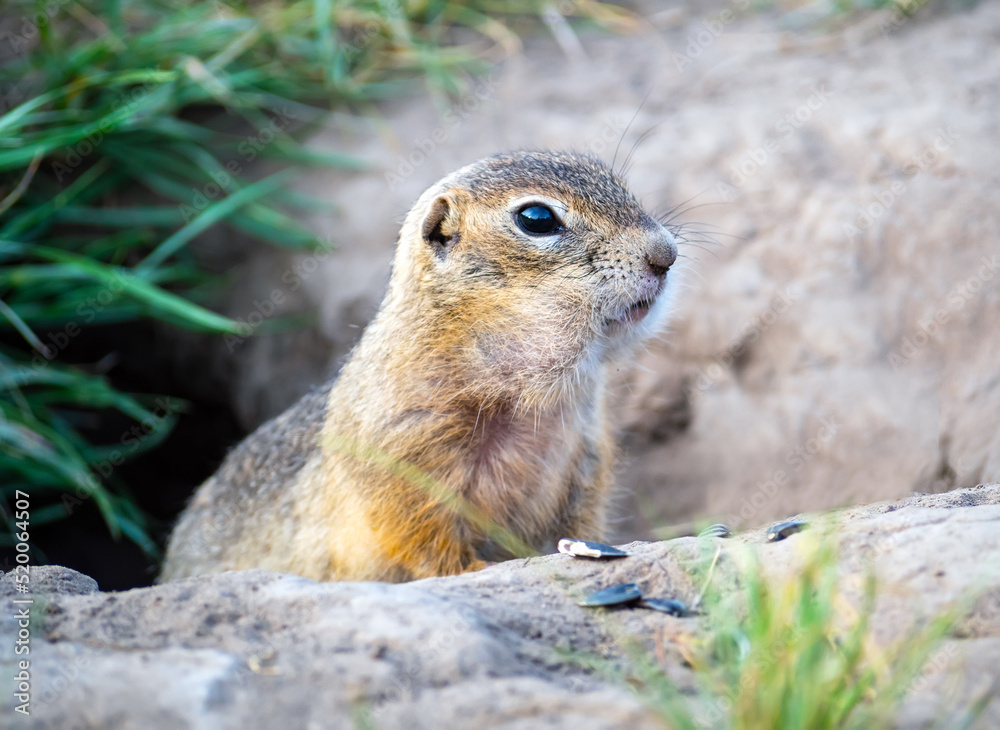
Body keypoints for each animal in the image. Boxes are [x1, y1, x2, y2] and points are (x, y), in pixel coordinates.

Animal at [160, 151, 680, 584]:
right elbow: (422, 536)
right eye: (537, 218)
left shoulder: (585, 462)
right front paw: (472, 569)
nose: (666, 254)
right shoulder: (406, 453)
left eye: (618, 182)